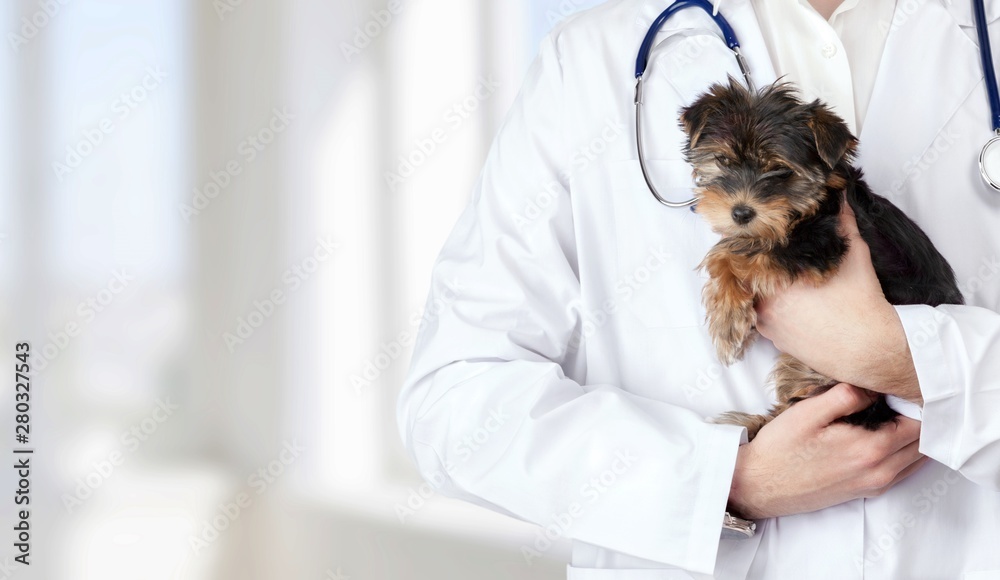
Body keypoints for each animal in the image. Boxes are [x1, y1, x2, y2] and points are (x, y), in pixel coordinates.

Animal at [676, 78, 964, 440]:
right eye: (724, 160)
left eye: (780, 171)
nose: (741, 212)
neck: (808, 205)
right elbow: (739, 246)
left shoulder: (820, 246)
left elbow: (733, 253)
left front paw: (727, 322)